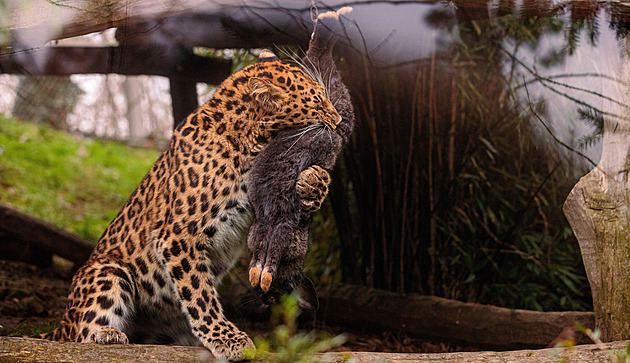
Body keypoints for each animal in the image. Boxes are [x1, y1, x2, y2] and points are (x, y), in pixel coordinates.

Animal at [30, 53, 340, 362]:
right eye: (317, 102)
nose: (338, 121)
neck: (250, 142)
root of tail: (62, 323)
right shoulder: (178, 237)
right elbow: (200, 294)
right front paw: (228, 338)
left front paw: (314, 181)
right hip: (107, 271)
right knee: (80, 336)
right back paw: (106, 335)